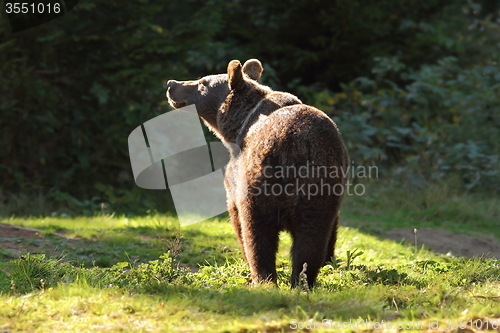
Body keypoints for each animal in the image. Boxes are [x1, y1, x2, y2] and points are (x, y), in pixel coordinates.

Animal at [167, 59, 348, 286]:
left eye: (202, 82)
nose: (171, 84)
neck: (236, 127)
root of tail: (295, 143)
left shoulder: (235, 175)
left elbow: (236, 216)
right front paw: (328, 260)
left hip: (260, 180)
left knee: (257, 231)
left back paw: (263, 278)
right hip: (320, 181)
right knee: (312, 234)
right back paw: (302, 280)